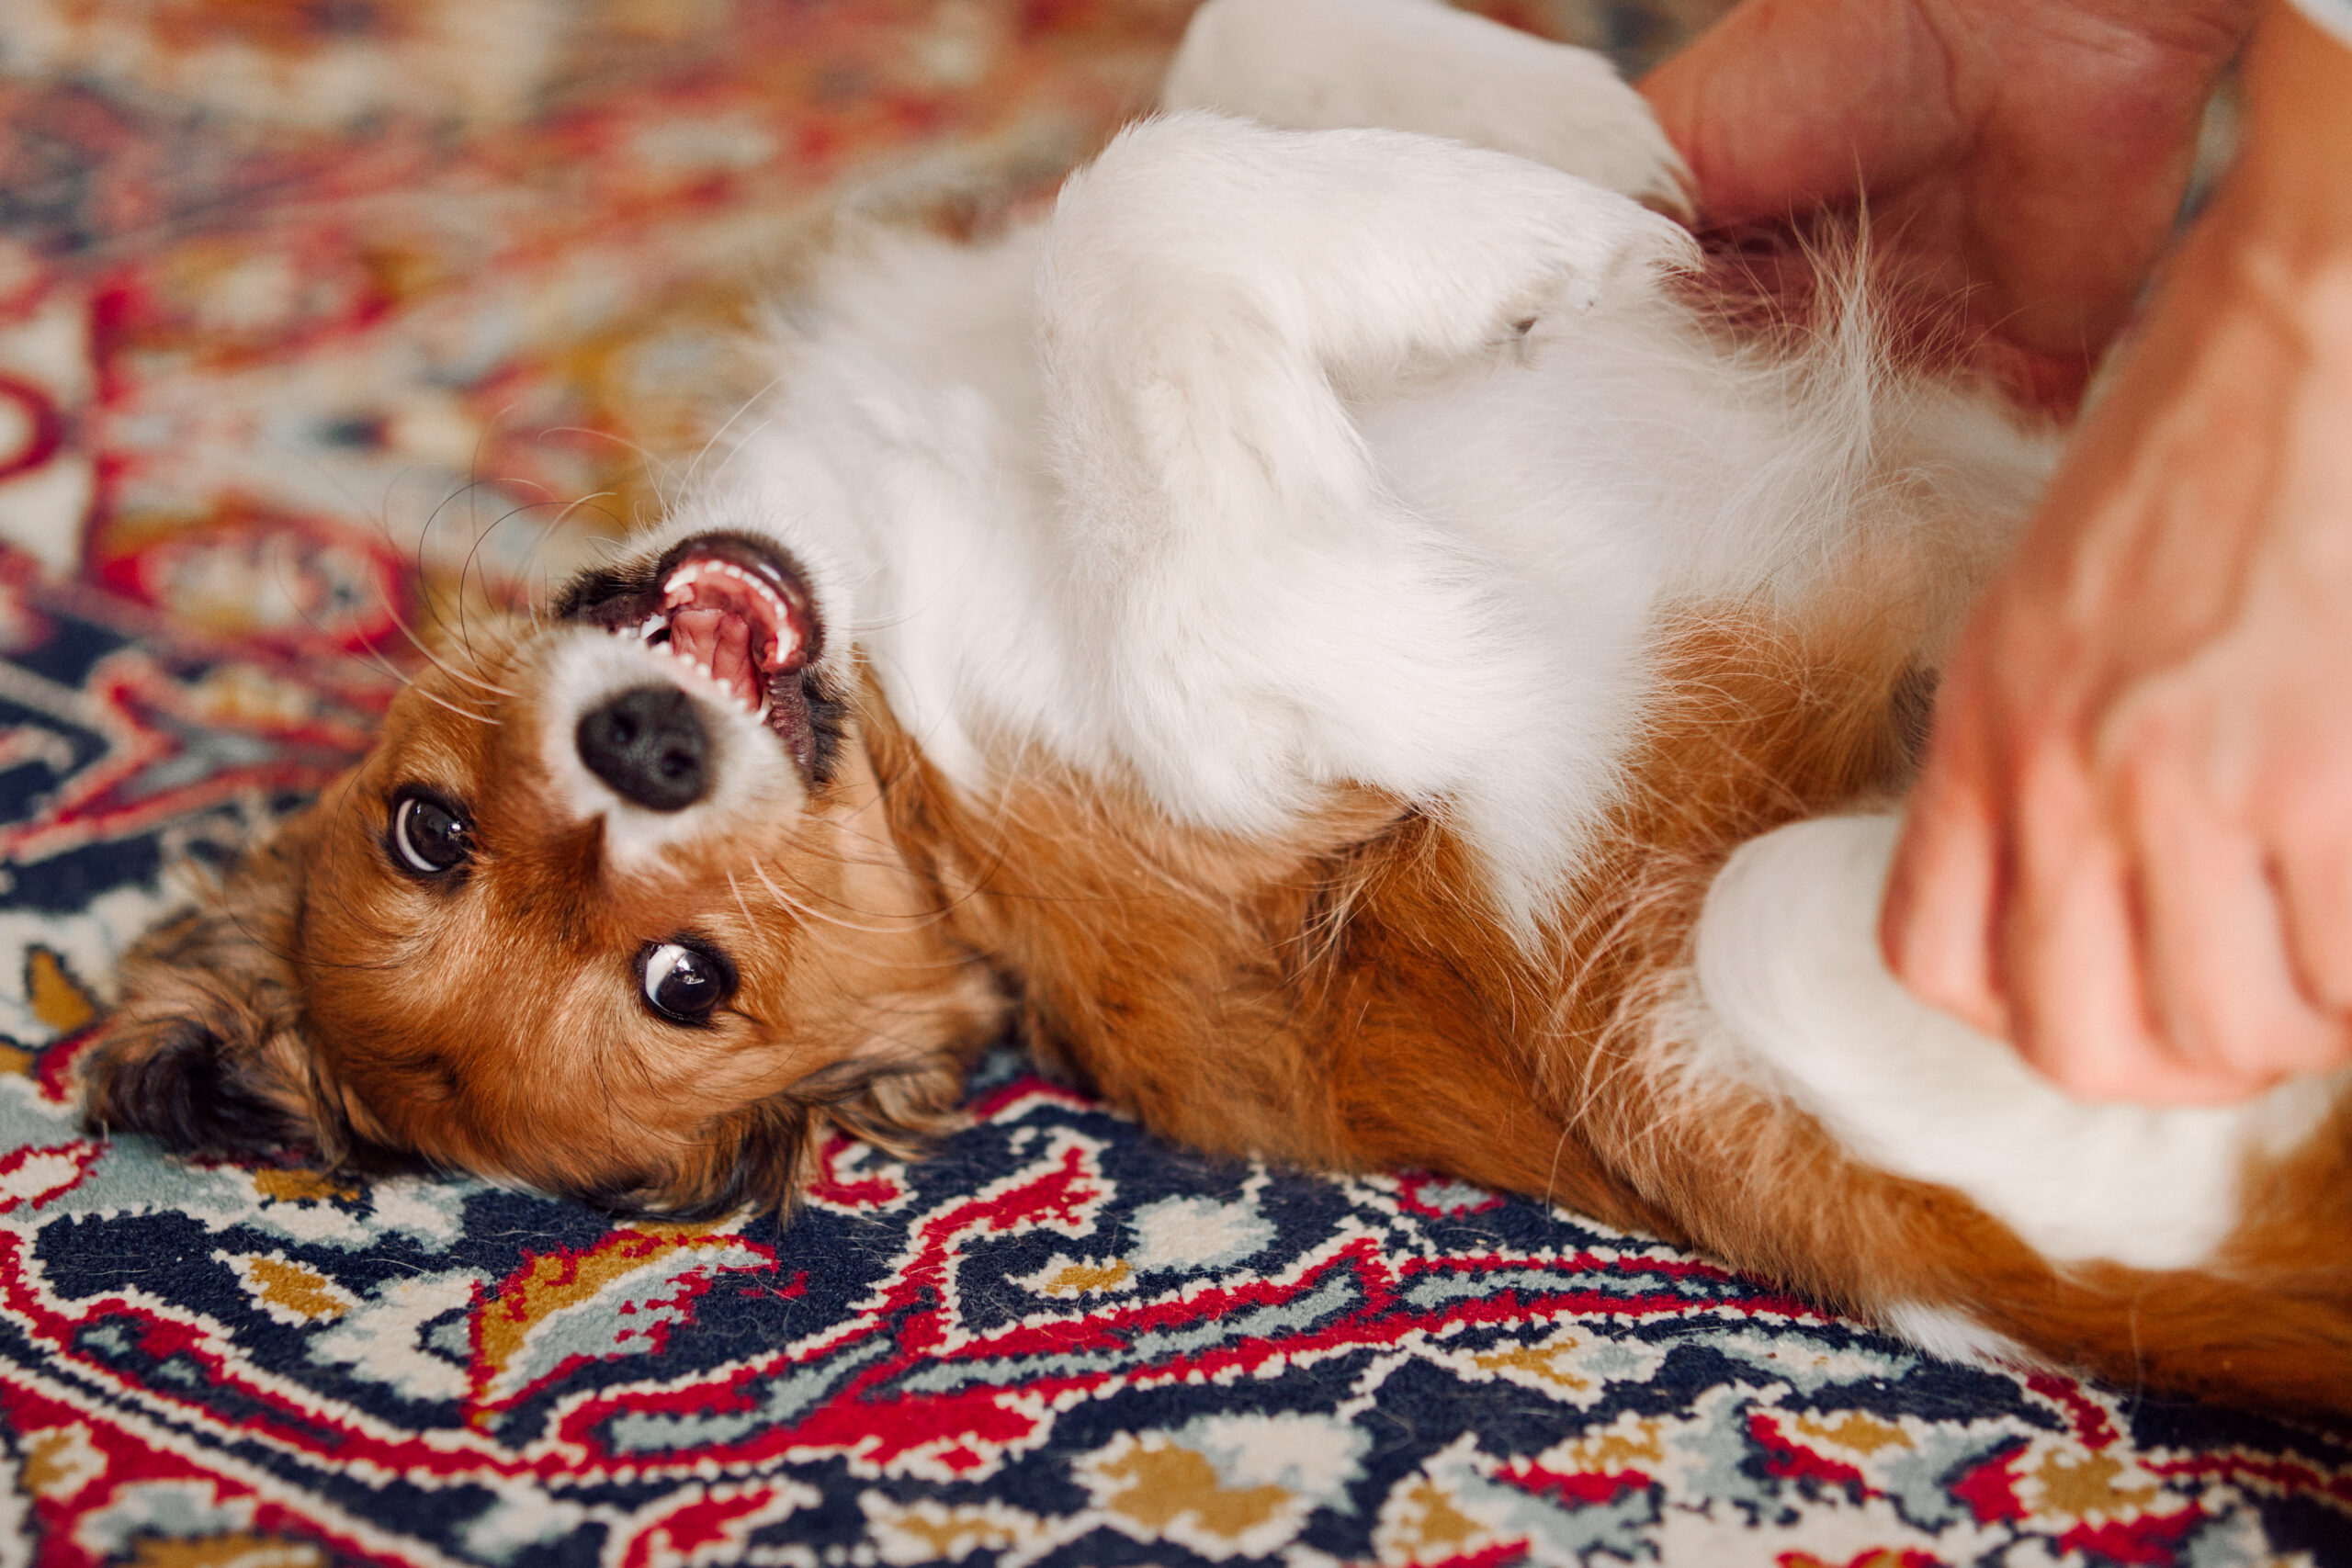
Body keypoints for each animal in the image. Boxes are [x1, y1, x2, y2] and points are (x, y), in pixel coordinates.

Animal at [74, 0, 2352, 1419]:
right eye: (681, 984)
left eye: (422, 827)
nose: (645, 751)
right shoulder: (1289, 680)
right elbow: (1135, 205)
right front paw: (1527, 225)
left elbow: (1190, 81)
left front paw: (1553, 118)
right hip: (1748, 974)